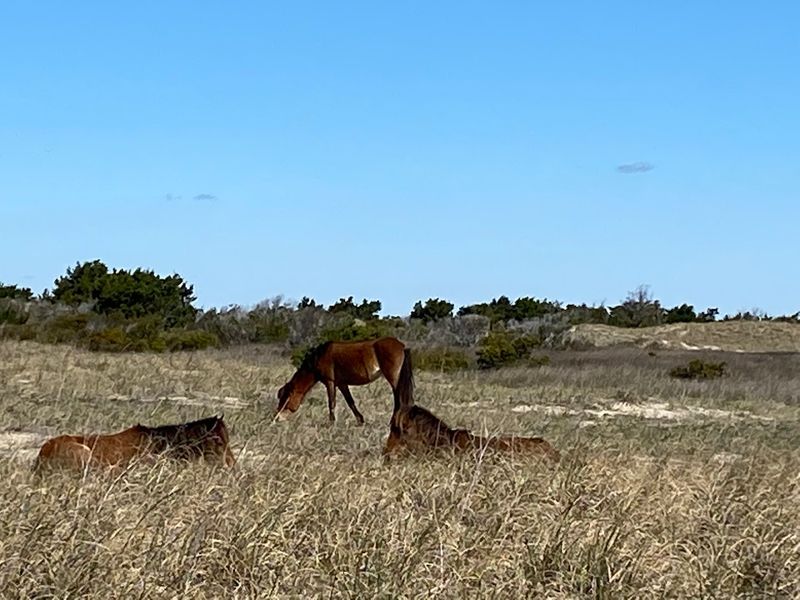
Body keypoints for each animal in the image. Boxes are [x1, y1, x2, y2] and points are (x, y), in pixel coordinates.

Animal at [276, 337, 414, 424]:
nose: (277, 418)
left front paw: (331, 423)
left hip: (394, 379)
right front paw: (360, 420)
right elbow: (350, 402)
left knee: (398, 399)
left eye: (285, 398)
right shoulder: (342, 384)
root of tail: (402, 346)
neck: (318, 357)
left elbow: (331, 403)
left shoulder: (330, 382)